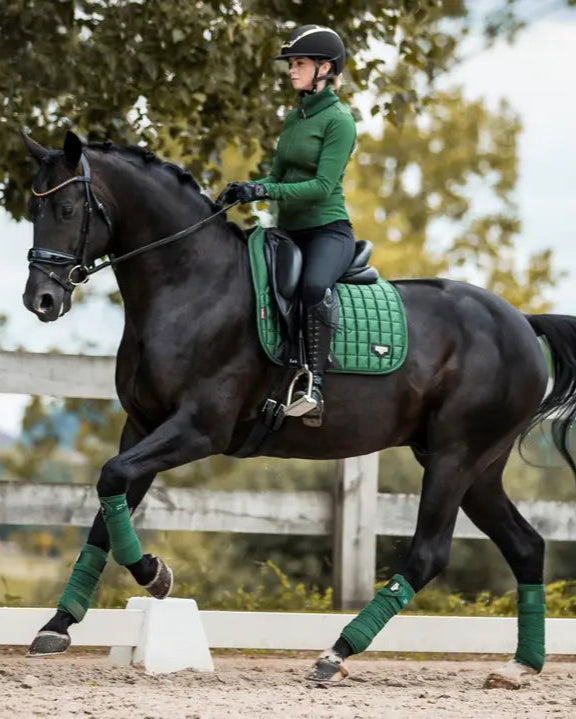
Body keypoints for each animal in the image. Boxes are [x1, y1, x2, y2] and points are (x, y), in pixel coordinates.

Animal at [20, 130, 576, 687]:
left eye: (67, 209)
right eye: (32, 208)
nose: (39, 301)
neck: (191, 284)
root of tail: (521, 321)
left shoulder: (197, 430)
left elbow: (112, 479)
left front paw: (155, 575)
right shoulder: (141, 427)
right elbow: (106, 507)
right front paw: (58, 625)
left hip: (453, 457)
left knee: (428, 554)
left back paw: (336, 653)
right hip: (477, 468)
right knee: (527, 545)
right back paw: (520, 666)